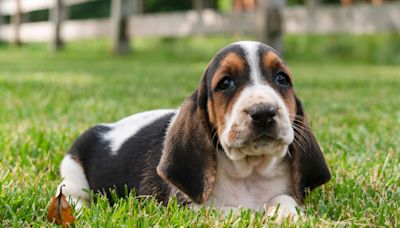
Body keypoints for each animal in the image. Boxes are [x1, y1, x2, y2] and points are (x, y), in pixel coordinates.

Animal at [56, 41, 332, 221]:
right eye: (225, 83)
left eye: (282, 79)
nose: (264, 112)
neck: (250, 172)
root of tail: (103, 128)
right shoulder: (189, 208)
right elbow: (230, 212)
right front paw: (250, 215)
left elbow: (283, 200)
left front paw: (285, 215)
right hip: (73, 174)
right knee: (69, 195)